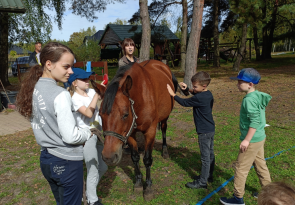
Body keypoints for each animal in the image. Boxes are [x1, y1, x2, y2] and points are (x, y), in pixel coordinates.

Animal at [90, 59, 178, 200]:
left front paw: (148, 187)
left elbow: (147, 160)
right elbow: (135, 157)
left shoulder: (150, 131)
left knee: (164, 129)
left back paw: (165, 151)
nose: (109, 157)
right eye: (101, 114)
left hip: (165, 117)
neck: (141, 96)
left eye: (125, 114)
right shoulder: (129, 133)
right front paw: (138, 183)